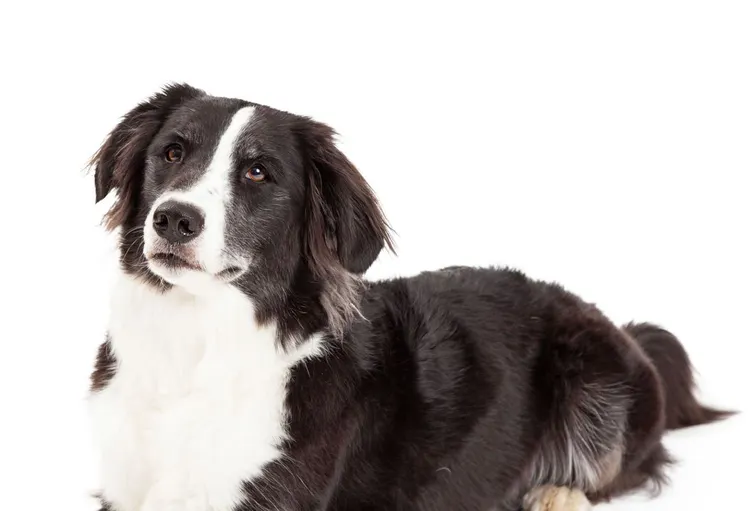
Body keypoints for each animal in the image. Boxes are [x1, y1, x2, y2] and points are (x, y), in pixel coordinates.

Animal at [86, 85, 728, 511]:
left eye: (259, 173)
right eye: (172, 152)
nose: (173, 219)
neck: (193, 344)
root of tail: (616, 324)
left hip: (594, 371)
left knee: (632, 464)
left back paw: (557, 492)